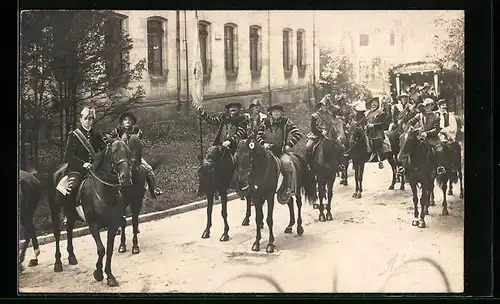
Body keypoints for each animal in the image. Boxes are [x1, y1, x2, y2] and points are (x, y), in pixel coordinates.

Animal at [47, 138, 132, 288]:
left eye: (128, 151)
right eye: (114, 152)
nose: (126, 177)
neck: (105, 192)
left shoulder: (113, 225)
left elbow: (109, 250)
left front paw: (110, 276)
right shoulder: (93, 225)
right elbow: (101, 249)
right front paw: (98, 273)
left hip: (71, 213)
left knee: (69, 229)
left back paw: (72, 256)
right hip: (54, 209)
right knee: (57, 233)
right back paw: (58, 263)